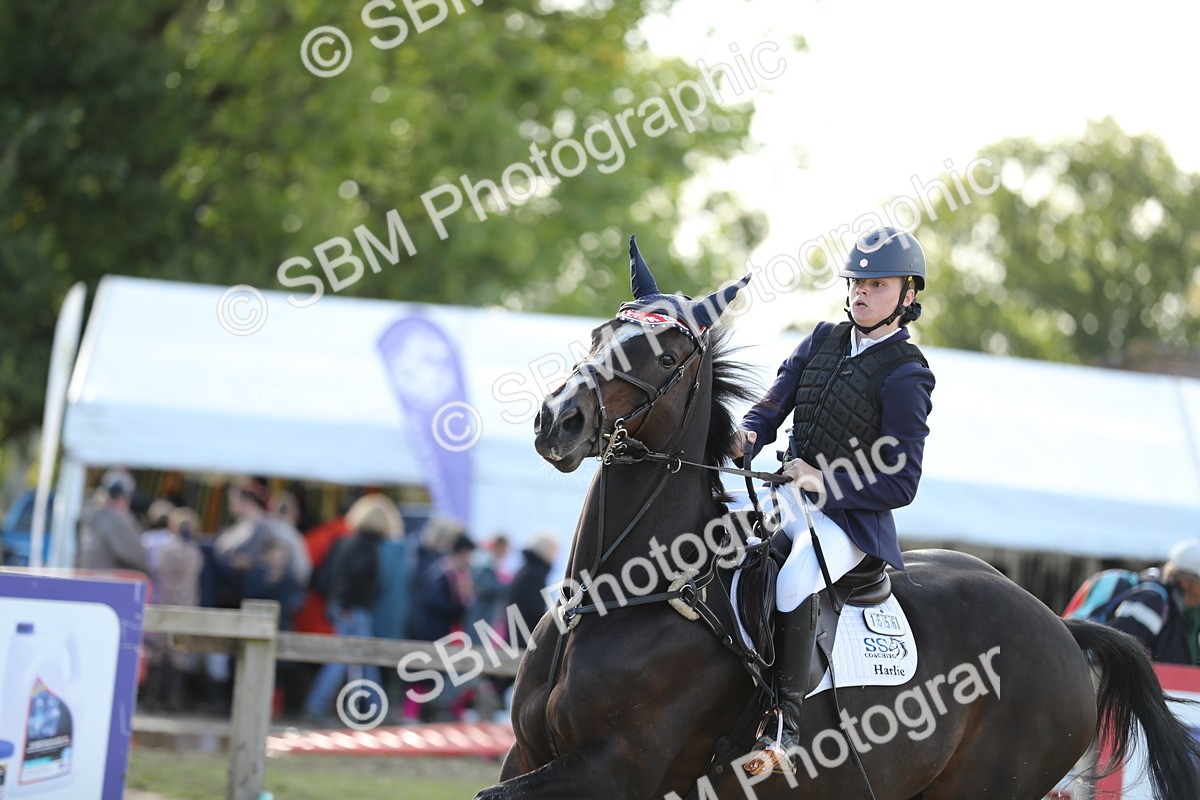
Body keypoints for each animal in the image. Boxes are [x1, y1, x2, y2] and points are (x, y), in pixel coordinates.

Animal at [473, 237, 1200, 800]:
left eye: (665, 355)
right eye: (601, 335)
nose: (558, 421)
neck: (625, 595)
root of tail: (1059, 627)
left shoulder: (617, 767)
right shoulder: (527, 752)